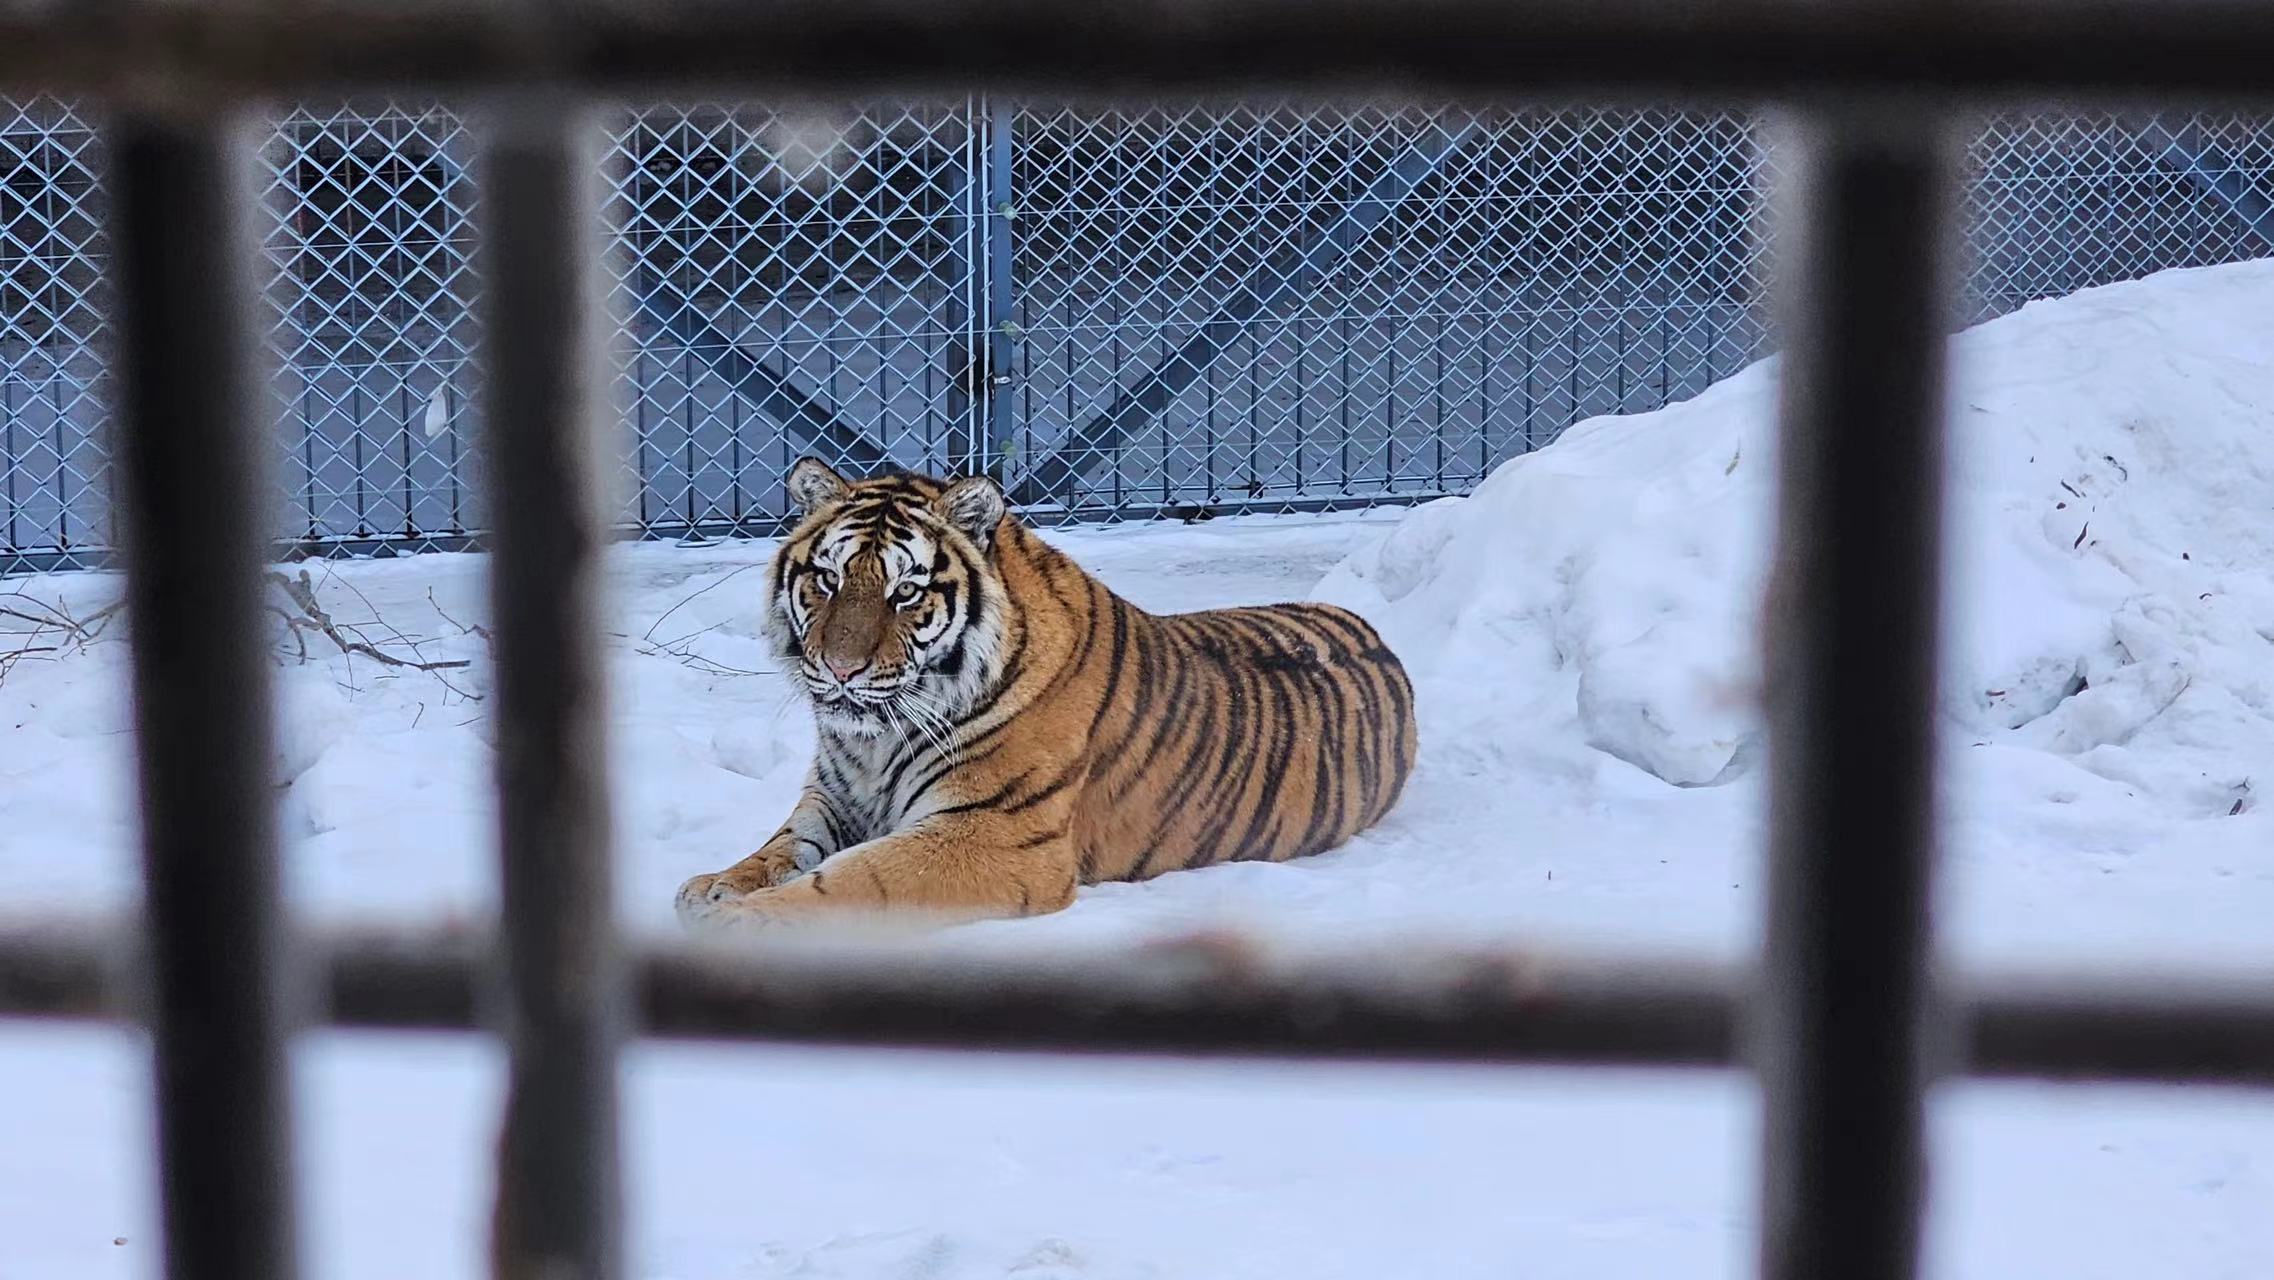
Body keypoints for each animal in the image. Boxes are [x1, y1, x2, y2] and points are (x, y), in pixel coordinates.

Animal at [673, 461, 1409, 932]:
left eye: (905, 591)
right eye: (826, 580)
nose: (840, 669)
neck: (876, 741)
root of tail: (1372, 630)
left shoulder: (996, 836)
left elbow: (855, 880)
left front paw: (737, 921)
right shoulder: (836, 798)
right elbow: (781, 845)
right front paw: (713, 885)